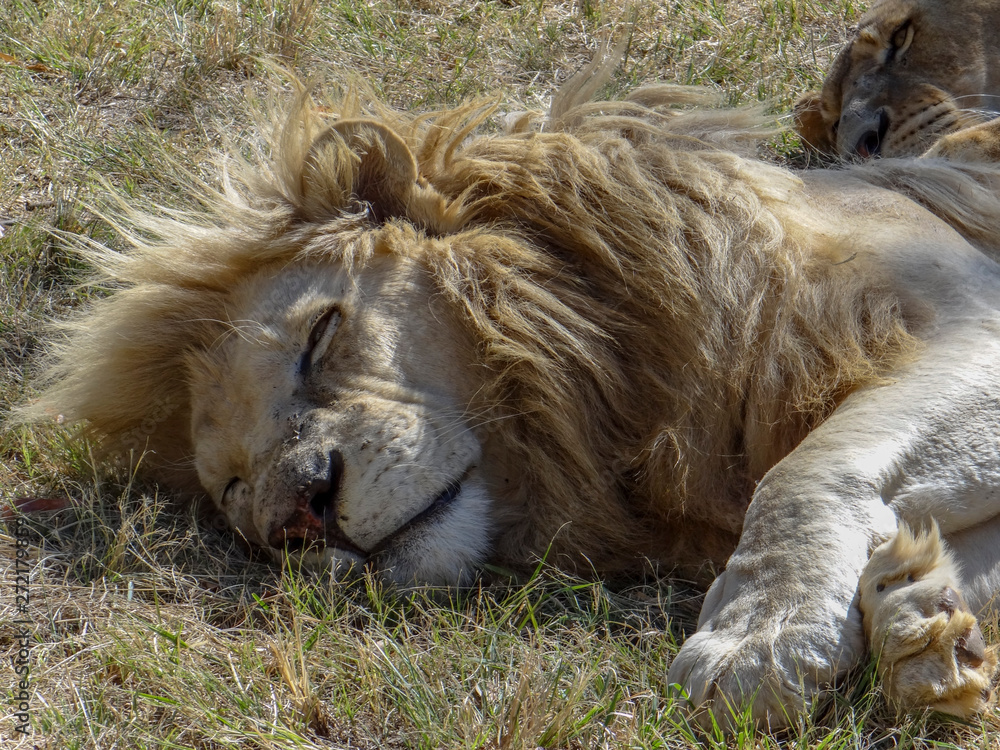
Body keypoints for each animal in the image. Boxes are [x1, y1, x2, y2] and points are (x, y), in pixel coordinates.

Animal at [21, 57, 1000, 730]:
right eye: (231, 493)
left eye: (321, 338)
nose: (300, 514)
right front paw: (924, 625)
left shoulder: (970, 314)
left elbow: (803, 471)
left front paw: (761, 637)